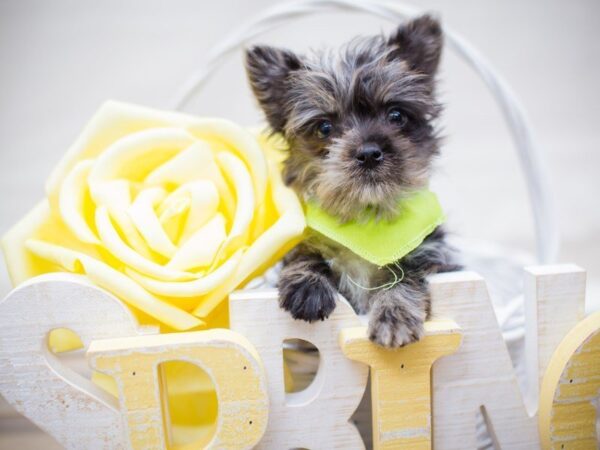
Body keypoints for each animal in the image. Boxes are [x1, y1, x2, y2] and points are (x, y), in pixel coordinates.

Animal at [244, 13, 460, 344]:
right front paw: (307, 285)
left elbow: (406, 277)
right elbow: (306, 252)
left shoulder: (433, 256)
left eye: (396, 116)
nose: (369, 153)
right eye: (324, 128)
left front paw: (394, 315)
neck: (366, 220)